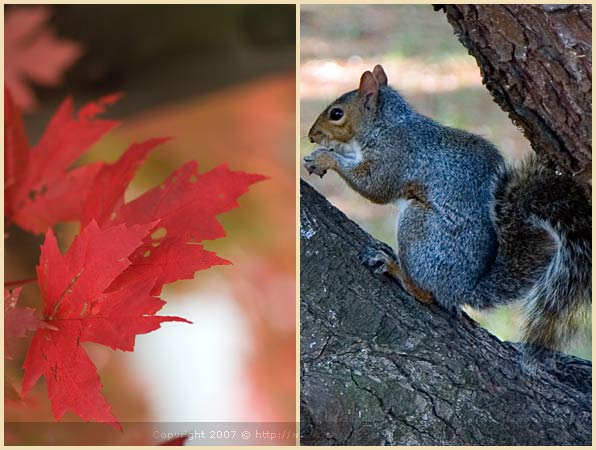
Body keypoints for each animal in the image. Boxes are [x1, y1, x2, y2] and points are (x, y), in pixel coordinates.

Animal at [304, 64, 592, 352]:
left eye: (336, 114)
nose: (311, 136)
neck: (385, 124)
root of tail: (462, 288)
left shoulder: (395, 156)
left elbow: (375, 187)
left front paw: (326, 157)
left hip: (418, 226)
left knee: (426, 294)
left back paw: (395, 268)